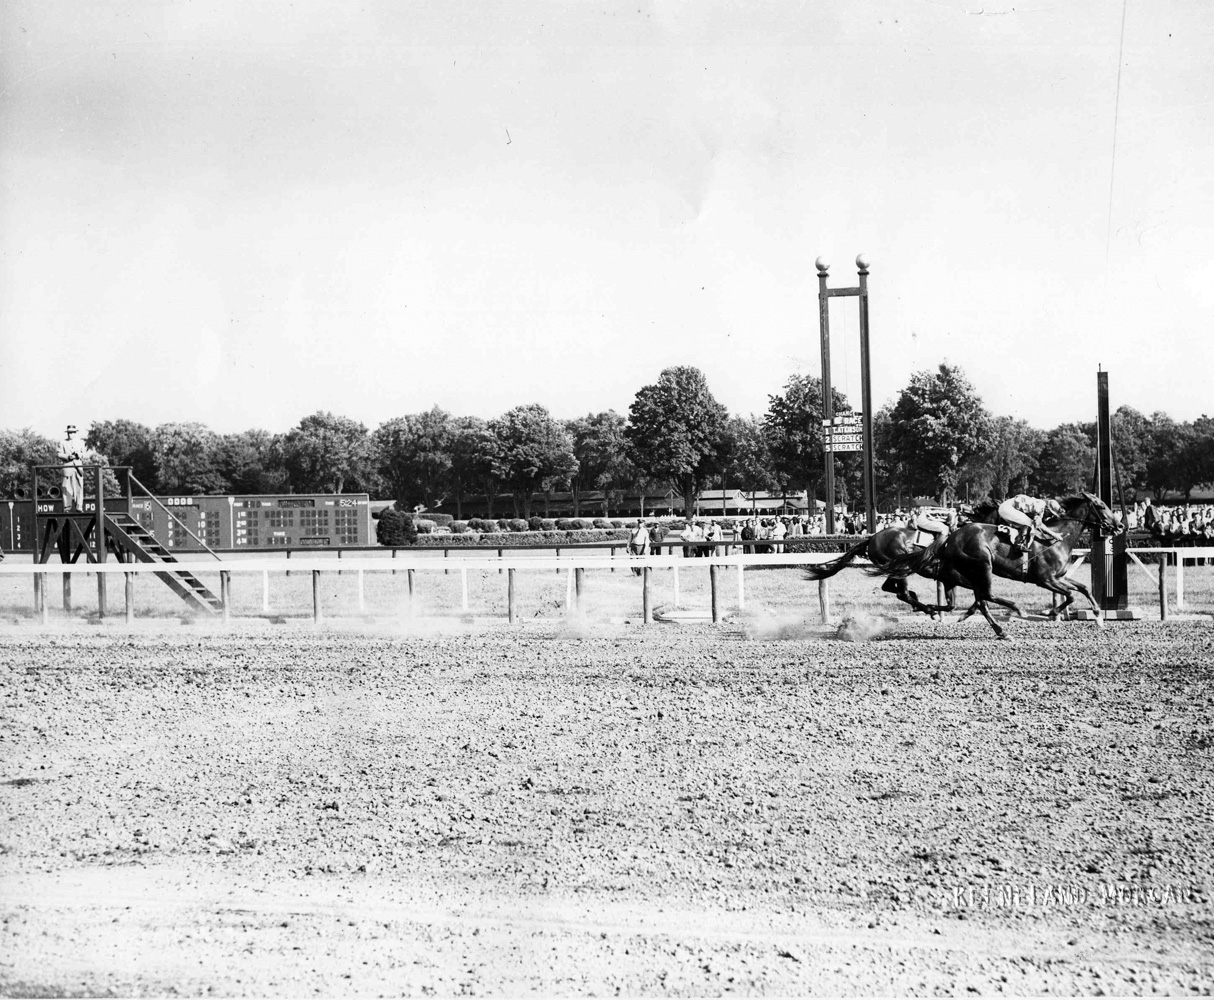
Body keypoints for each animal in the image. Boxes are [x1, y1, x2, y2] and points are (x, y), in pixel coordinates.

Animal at [883, 492, 1116, 640]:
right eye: (1101, 506)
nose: (1120, 525)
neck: (1057, 539)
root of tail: (950, 538)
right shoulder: (1045, 579)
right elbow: (1071, 595)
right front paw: (1051, 612)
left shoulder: (1059, 577)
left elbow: (1083, 589)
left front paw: (1098, 616)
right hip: (982, 565)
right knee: (987, 595)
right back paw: (1016, 611)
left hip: (972, 571)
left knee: (982, 600)